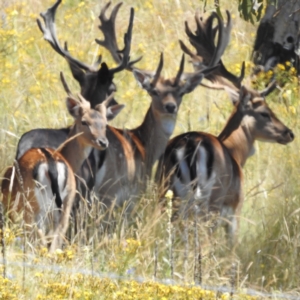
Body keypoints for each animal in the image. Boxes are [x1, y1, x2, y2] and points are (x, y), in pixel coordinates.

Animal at [0, 74, 125, 251]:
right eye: (84, 121)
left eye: (105, 123)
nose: (103, 142)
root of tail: (51, 165)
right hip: (63, 205)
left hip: (34, 207)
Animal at [156, 9, 294, 244]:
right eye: (265, 112)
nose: (289, 133)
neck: (235, 151)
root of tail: (189, 146)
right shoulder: (234, 211)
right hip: (210, 201)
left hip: (165, 193)